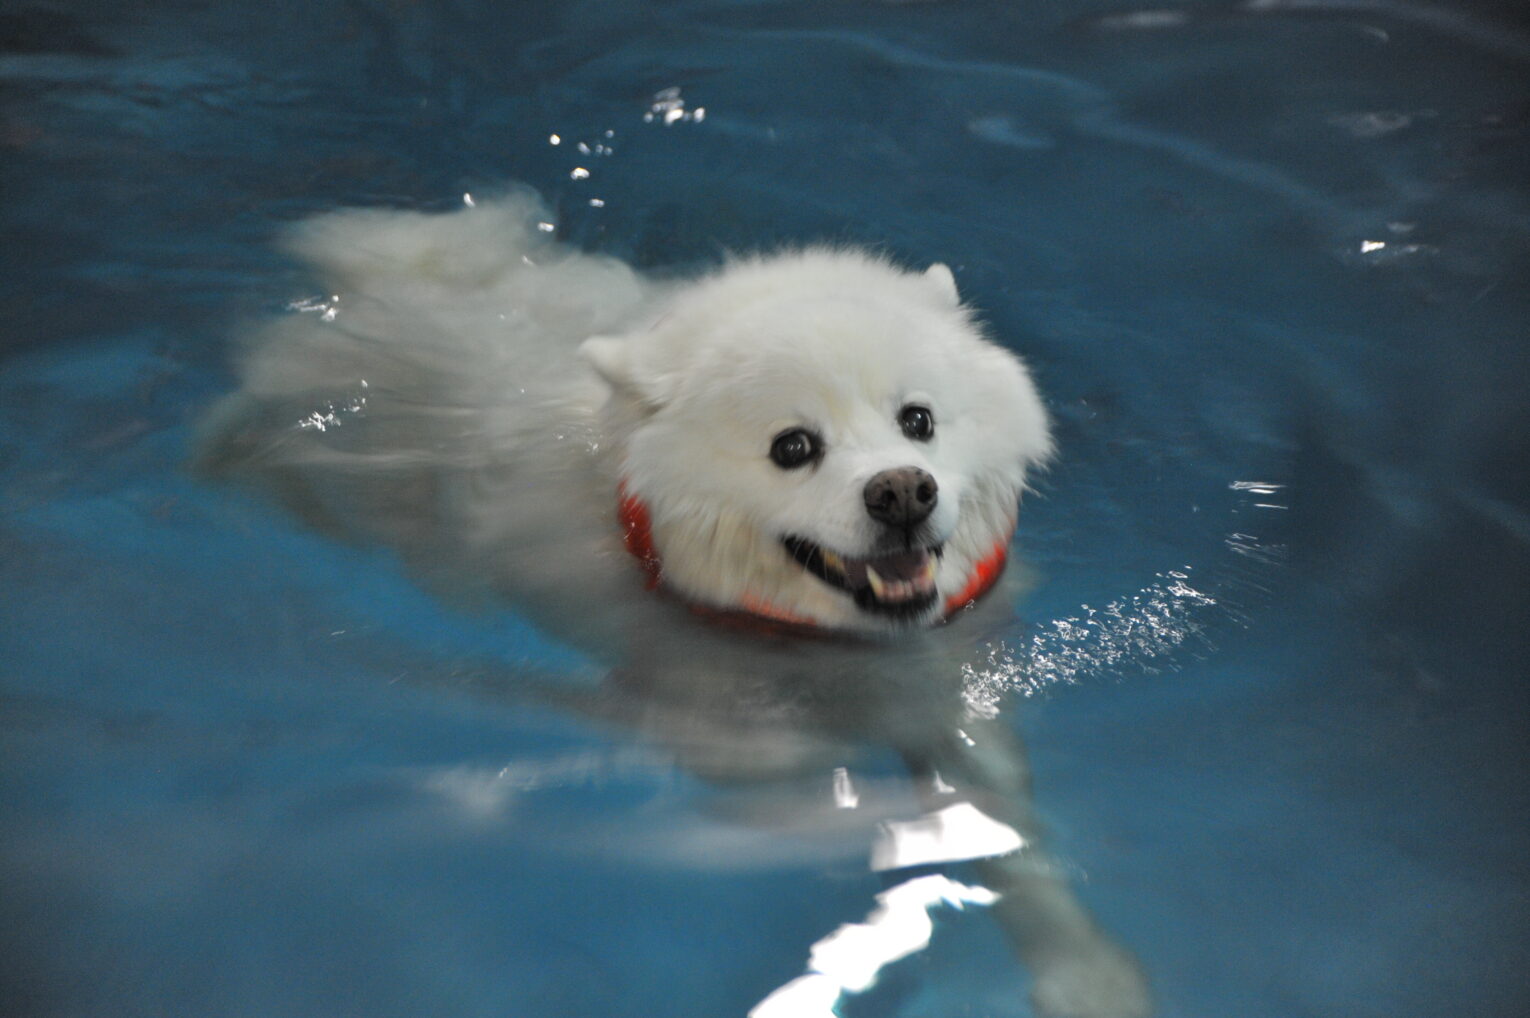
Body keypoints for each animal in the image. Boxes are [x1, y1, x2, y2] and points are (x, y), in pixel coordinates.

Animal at [194, 192, 1150, 1016]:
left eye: (918, 420)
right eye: (793, 447)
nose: (902, 492)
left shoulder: (954, 689)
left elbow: (1008, 830)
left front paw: (1088, 976)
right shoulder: (695, 696)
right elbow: (777, 779)